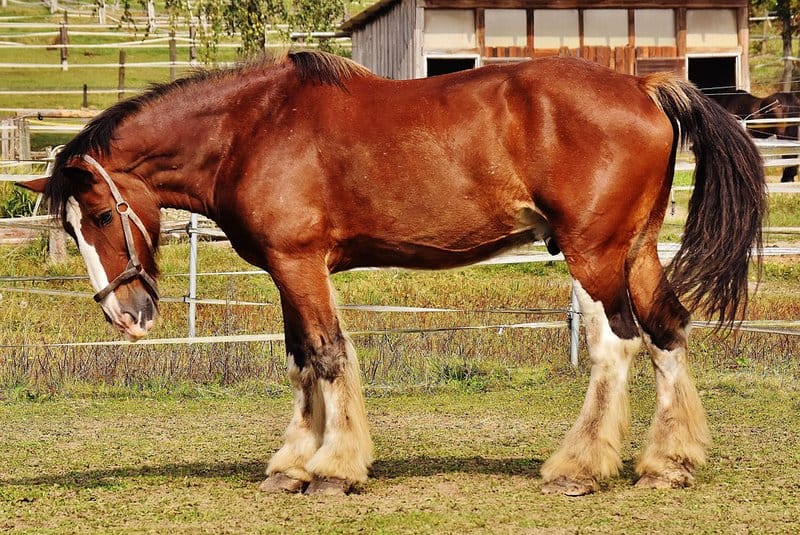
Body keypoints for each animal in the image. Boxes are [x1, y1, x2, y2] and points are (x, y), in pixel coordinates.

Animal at [19, 51, 765, 496]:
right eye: (71, 229)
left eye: (101, 215)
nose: (124, 315)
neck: (250, 130)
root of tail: (642, 84)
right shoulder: (290, 269)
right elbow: (301, 359)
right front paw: (293, 464)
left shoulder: (299, 263)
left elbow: (325, 355)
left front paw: (331, 470)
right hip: (636, 248)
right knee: (668, 329)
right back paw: (668, 462)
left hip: (595, 252)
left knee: (618, 343)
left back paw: (578, 467)